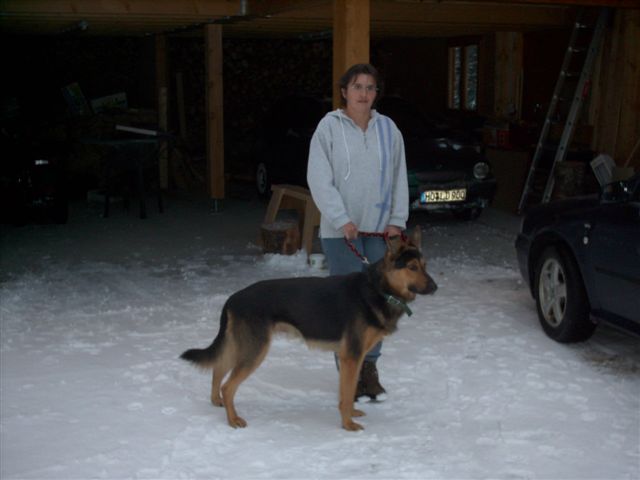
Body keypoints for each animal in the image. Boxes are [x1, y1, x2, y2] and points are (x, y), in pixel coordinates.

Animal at [180, 227, 437, 431]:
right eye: (412, 267)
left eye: (425, 266)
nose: (435, 287)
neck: (378, 288)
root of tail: (233, 298)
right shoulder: (351, 357)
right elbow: (346, 395)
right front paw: (347, 424)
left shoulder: (354, 358)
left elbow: (348, 390)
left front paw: (351, 414)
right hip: (255, 350)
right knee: (228, 386)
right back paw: (233, 419)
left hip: (241, 346)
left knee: (218, 368)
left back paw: (216, 402)